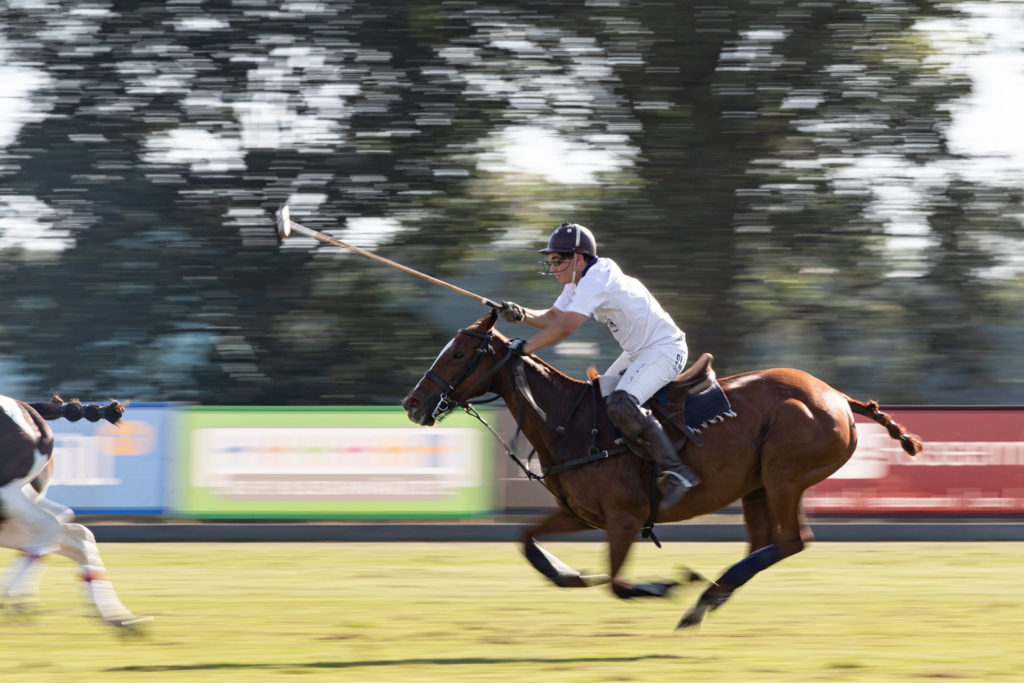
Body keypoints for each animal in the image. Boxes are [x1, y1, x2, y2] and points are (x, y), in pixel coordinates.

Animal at [0, 395, 149, 630]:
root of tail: (28, 408)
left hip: (8, 494)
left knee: (56, 527)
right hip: (13, 505)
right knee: (73, 532)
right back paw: (118, 618)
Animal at [403, 309, 925, 630]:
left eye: (458, 352)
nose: (412, 404)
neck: (569, 420)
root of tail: (838, 397)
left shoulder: (624, 518)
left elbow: (618, 585)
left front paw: (668, 583)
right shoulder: (580, 513)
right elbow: (526, 539)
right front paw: (572, 575)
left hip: (785, 474)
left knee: (792, 541)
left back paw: (703, 596)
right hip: (756, 485)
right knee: (766, 542)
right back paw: (710, 597)